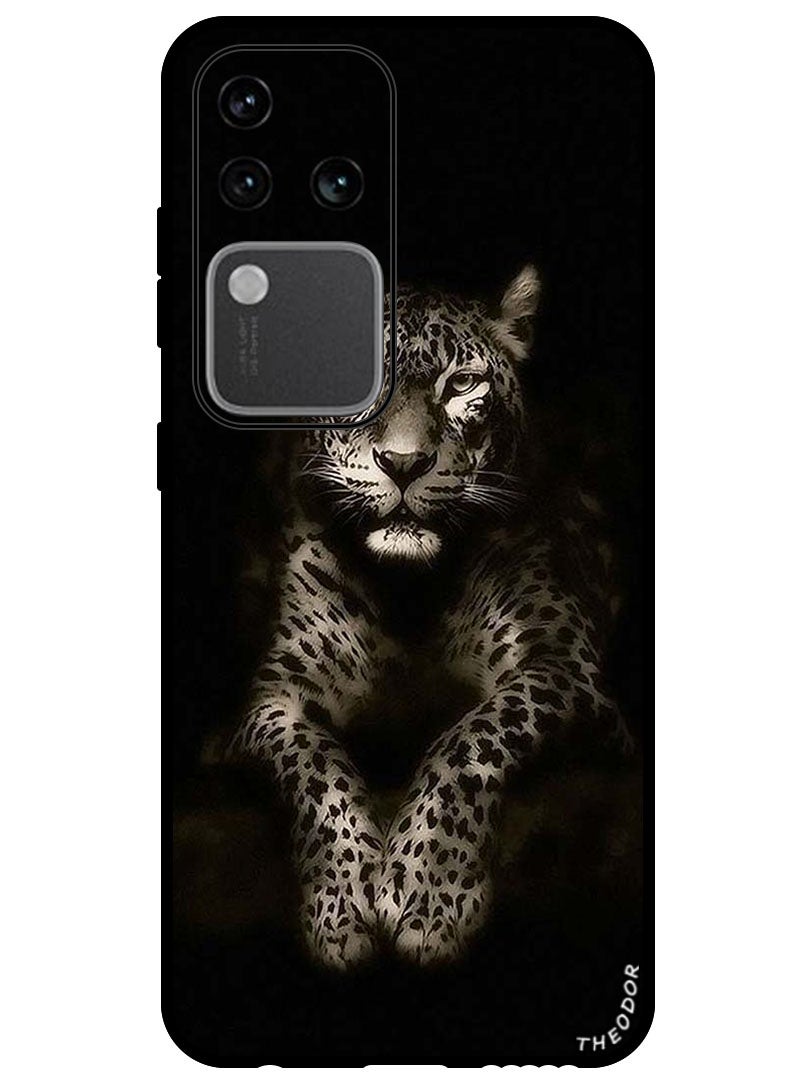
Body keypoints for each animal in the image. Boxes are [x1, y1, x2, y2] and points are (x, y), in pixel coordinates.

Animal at [228, 264, 632, 969]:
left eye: (462, 384)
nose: (404, 463)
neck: (409, 593)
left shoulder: (565, 666)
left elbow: (471, 738)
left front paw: (428, 894)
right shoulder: (274, 698)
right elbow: (314, 767)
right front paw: (341, 906)